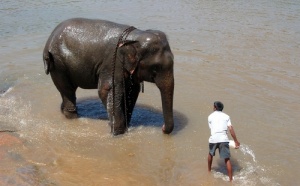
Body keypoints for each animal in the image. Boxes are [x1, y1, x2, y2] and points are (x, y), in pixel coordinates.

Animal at [42, 18, 173, 135]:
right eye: (155, 68)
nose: (162, 128)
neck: (135, 36)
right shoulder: (112, 63)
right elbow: (106, 90)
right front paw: (118, 132)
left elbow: (132, 91)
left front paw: (124, 126)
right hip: (58, 64)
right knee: (67, 90)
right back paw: (73, 116)